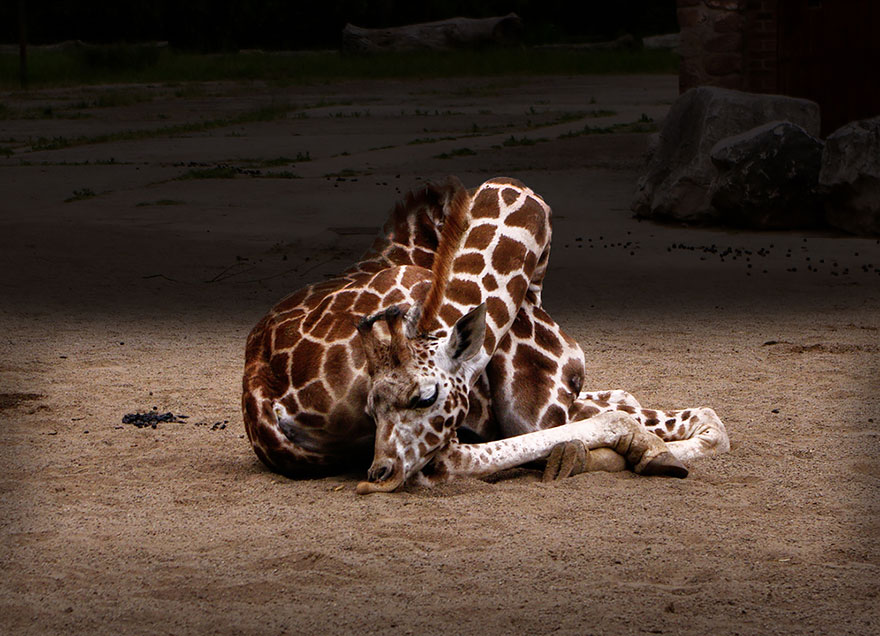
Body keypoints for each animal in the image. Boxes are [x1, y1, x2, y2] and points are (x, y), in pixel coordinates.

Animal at [242, 177, 730, 493]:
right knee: (454, 460)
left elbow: (644, 402)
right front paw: (648, 449)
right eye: (371, 406)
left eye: (424, 397)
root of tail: (263, 401)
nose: (379, 475)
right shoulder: (540, 400)